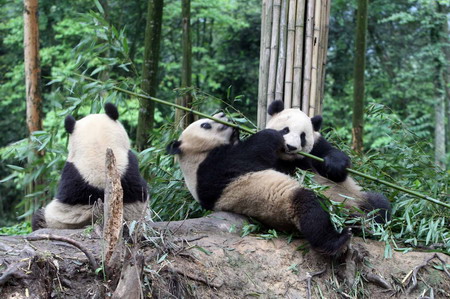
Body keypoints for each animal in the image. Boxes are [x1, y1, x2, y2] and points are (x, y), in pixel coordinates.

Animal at [167, 113, 350, 256]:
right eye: (205, 124)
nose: (223, 114)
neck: (195, 153)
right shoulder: (213, 167)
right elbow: (254, 152)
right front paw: (273, 134)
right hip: (281, 205)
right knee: (309, 209)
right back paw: (338, 241)